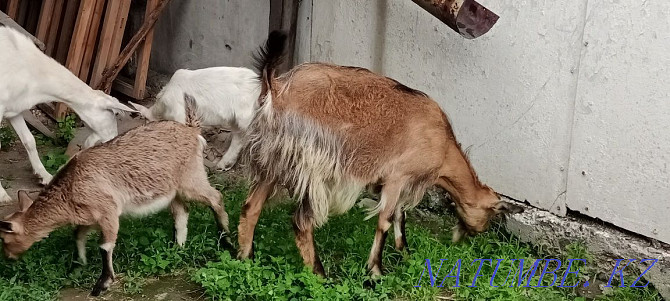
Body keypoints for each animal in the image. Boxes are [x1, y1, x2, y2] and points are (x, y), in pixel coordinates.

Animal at [0, 26, 136, 202]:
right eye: (111, 116)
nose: (113, 140)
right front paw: (3, 195)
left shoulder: (13, 108)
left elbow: (29, 141)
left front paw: (45, 176)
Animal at [0, 96, 234, 296]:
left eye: (4, 239)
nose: (8, 258)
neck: (70, 187)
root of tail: (192, 130)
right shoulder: (89, 217)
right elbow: (78, 234)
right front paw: (79, 264)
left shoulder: (108, 212)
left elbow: (105, 246)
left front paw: (101, 284)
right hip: (172, 190)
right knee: (182, 212)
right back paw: (178, 248)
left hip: (191, 179)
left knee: (216, 198)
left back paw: (226, 242)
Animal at [238, 31, 524, 276]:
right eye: (492, 214)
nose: (471, 234)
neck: (442, 146)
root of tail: (276, 89)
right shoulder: (398, 177)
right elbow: (386, 220)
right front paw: (375, 270)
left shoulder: (398, 182)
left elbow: (400, 216)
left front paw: (405, 252)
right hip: (313, 167)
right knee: (301, 222)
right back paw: (320, 274)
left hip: (272, 158)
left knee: (251, 207)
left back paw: (246, 258)